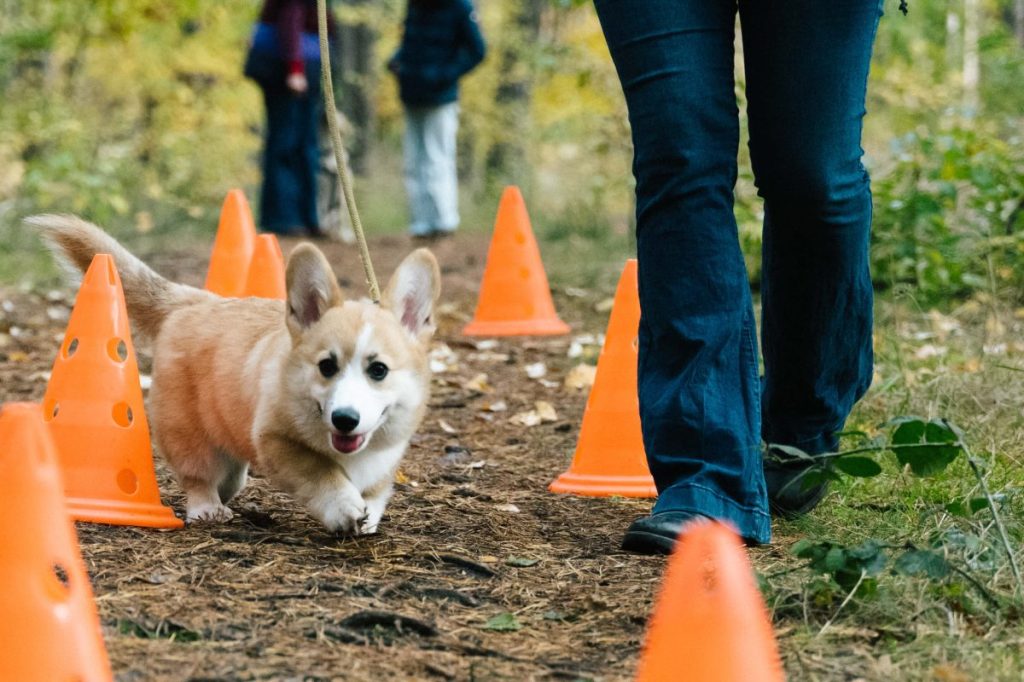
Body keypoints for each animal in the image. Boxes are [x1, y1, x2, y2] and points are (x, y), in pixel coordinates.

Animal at [30, 215, 440, 532]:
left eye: (378, 370)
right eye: (327, 366)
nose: (344, 419)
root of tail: (194, 300)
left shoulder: (386, 456)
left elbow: (376, 490)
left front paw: (368, 516)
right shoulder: (276, 441)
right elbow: (322, 472)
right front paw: (344, 508)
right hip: (187, 432)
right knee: (198, 474)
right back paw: (207, 507)